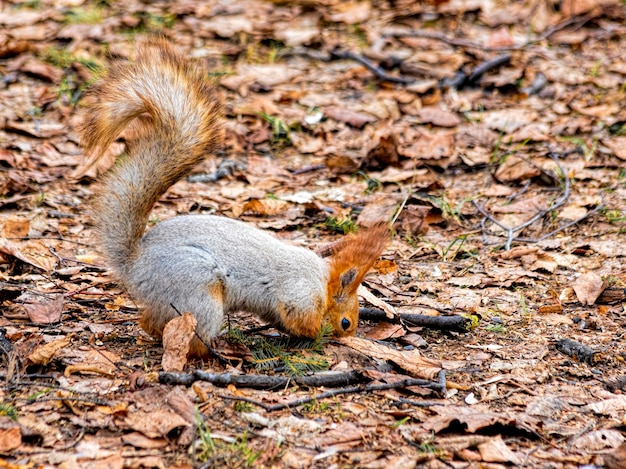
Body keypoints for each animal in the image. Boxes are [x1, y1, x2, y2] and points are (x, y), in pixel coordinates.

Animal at [80, 38, 388, 354]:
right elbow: (301, 317)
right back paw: (215, 350)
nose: (346, 338)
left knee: (151, 323)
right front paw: (317, 334)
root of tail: (135, 266)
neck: (323, 284)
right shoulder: (300, 292)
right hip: (197, 290)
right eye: (346, 323)